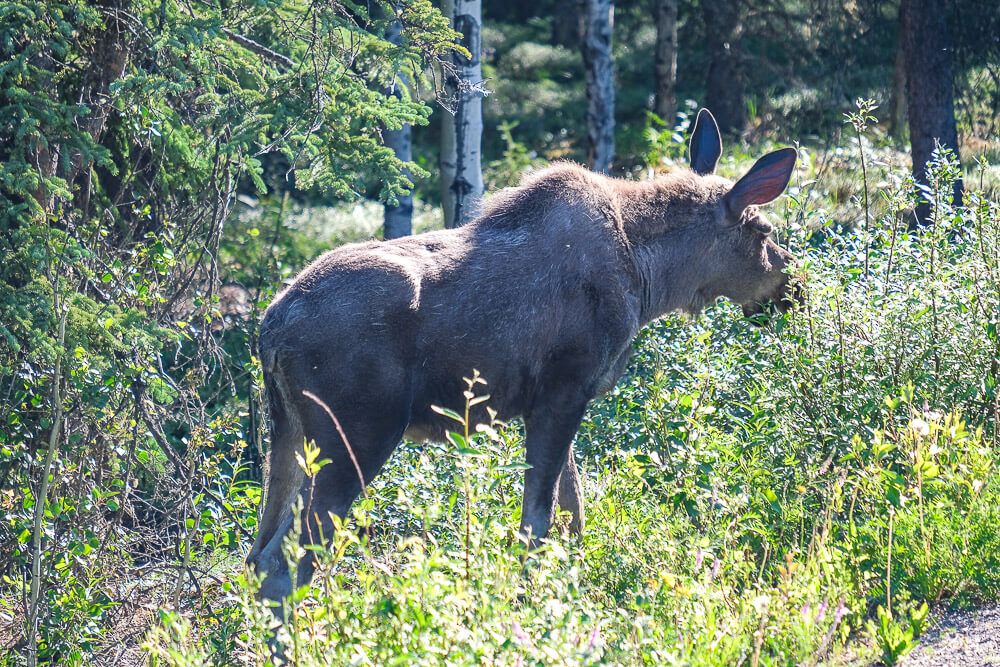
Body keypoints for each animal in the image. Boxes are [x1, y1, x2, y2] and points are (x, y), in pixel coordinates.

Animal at [250, 109, 804, 612]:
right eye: (764, 231)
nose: (794, 289)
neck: (651, 280)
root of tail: (270, 329)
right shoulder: (564, 389)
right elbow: (538, 519)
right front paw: (530, 603)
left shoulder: (553, 402)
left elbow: (573, 508)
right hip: (357, 434)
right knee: (286, 563)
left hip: (289, 433)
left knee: (258, 553)